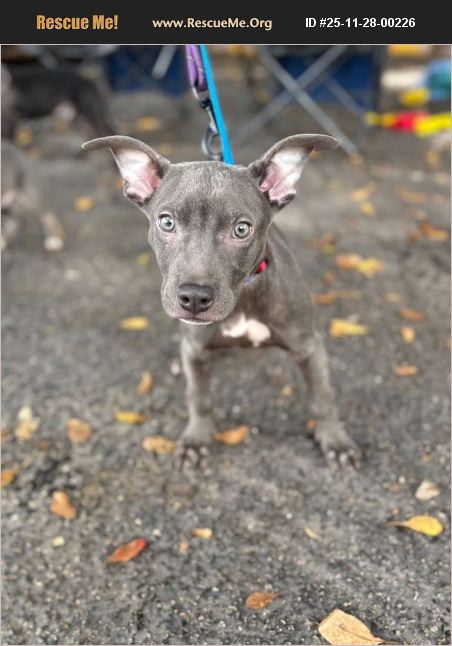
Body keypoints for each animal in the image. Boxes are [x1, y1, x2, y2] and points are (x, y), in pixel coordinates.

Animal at [82, 134, 361, 469]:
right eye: (166, 222)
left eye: (241, 229)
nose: (193, 297)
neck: (243, 300)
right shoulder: (197, 350)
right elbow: (199, 397)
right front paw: (196, 439)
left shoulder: (309, 347)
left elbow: (323, 397)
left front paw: (335, 440)